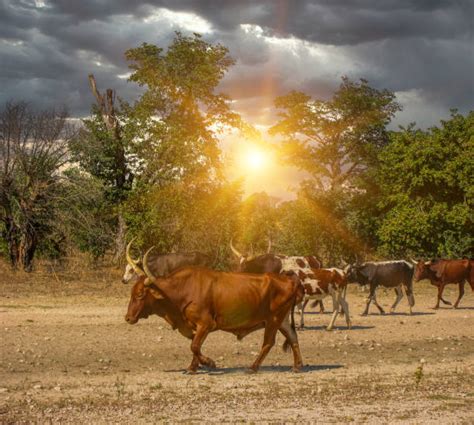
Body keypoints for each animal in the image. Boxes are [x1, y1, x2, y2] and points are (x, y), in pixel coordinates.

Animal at [125, 250, 304, 372]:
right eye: (131, 293)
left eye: (140, 294)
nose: (127, 318)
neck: (182, 289)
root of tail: (288, 278)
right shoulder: (195, 327)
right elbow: (195, 344)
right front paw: (193, 367)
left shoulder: (206, 324)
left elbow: (194, 346)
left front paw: (209, 363)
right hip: (282, 320)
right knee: (293, 337)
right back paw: (297, 366)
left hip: (273, 320)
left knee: (268, 342)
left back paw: (253, 367)